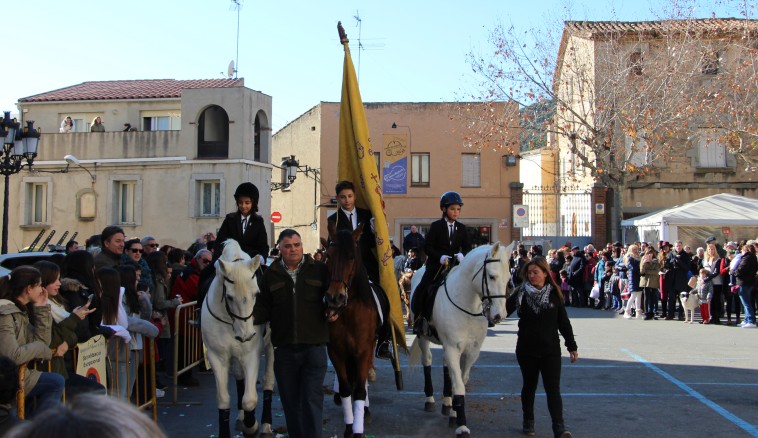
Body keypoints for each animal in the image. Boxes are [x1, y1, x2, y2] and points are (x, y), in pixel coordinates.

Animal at [203, 240, 272, 438]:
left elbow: (250, 399)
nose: (246, 335)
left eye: (256, 294)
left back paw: (265, 424)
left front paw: (252, 426)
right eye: (229, 297)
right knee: (240, 377)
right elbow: (223, 399)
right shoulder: (216, 357)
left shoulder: (251, 355)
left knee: (268, 380)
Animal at [324, 222, 380, 438]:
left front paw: (358, 428)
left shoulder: (363, 351)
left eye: (351, 257)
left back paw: (365, 410)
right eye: (328, 255)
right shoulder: (336, 352)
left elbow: (359, 390)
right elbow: (347, 389)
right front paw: (349, 427)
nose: (335, 298)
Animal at [410, 243, 516, 438]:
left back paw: (446, 403)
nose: (499, 315)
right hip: (423, 337)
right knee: (427, 361)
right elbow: (459, 386)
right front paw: (462, 426)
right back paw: (430, 399)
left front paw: (454, 414)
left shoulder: (472, 351)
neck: (468, 306)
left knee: (446, 367)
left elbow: (460, 380)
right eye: (491, 276)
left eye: (508, 279)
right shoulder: (453, 347)